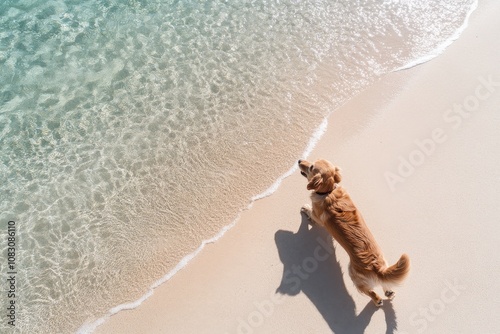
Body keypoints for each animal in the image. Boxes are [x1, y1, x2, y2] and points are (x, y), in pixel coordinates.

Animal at [296, 159, 410, 306]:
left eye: (311, 167)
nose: (299, 160)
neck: (329, 192)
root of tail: (376, 267)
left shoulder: (317, 217)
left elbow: (311, 213)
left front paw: (306, 208)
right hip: (385, 267)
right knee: (385, 283)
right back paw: (389, 292)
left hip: (353, 275)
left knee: (372, 293)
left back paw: (377, 300)